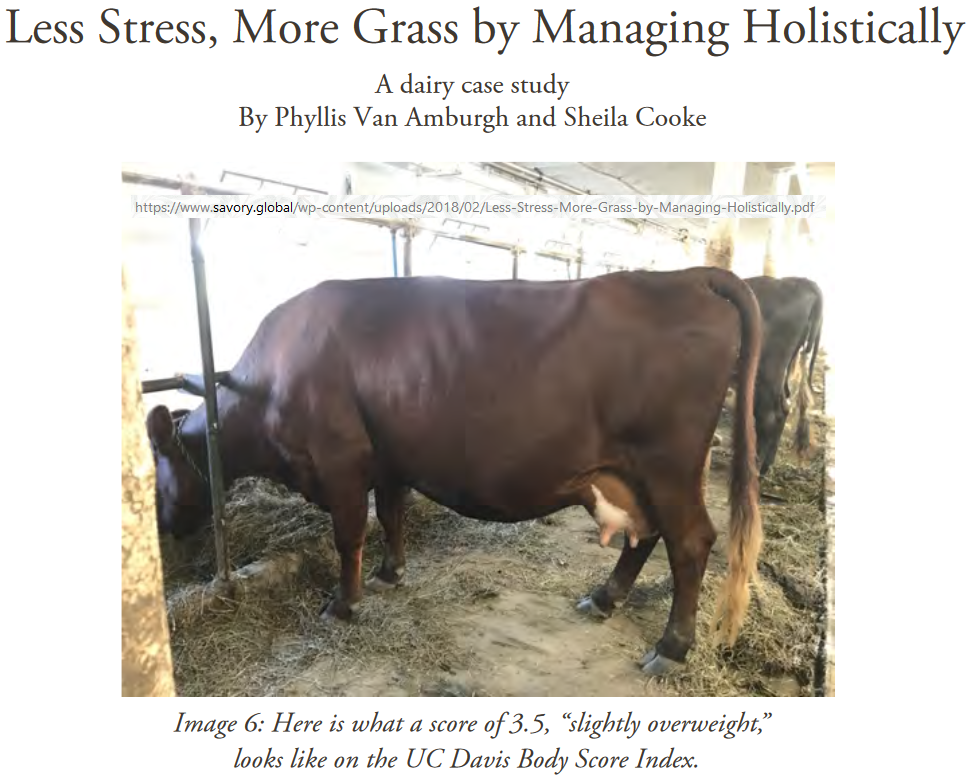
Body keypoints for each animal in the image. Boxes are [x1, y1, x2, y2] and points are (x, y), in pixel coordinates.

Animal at [146, 268, 763, 676]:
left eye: (155, 468)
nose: (164, 525)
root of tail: (686, 276)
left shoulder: (341, 463)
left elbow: (349, 536)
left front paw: (343, 603)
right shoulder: (389, 460)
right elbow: (391, 517)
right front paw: (391, 572)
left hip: (667, 463)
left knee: (690, 541)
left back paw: (670, 648)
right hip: (634, 471)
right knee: (646, 533)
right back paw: (604, 597)